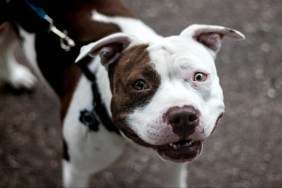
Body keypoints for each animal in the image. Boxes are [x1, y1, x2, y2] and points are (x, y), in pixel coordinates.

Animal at [0, 0, 245, 187]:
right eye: (139, 84)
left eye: (199, 77)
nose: (183, 115)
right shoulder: (76, 171)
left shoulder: (176, 165)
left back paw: (14, 75)